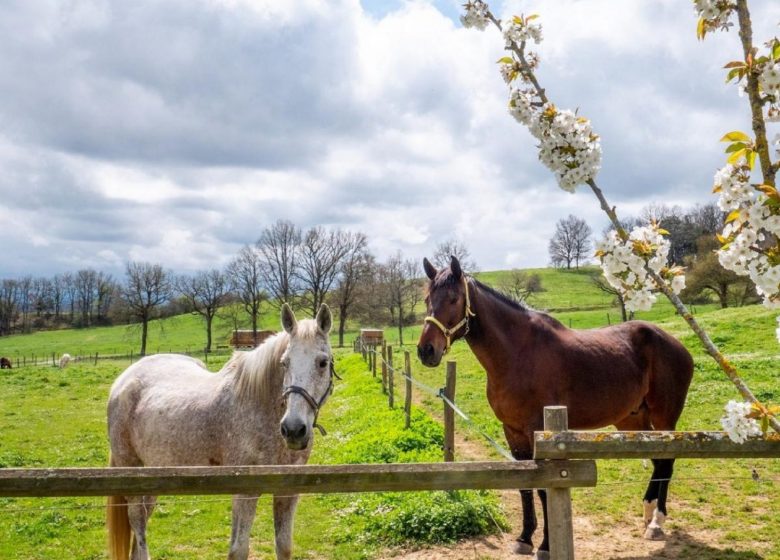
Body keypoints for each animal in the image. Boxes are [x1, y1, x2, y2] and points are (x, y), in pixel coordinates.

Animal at [106, 304, 332, 556]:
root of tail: (123, 381)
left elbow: (284, 547)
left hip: (152, 477)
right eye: (284, 363)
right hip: (131, 475)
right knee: (138, 523)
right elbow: (238, 550)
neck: (259, 405)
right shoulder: (245, 492)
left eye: (322, 362)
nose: (293, 429)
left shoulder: (287, 492)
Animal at [418, 256, 692, 556]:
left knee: (666, 462)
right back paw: (647, 512)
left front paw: (546, 545)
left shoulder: (539, 432)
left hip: (665, 417)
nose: (426, 350)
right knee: (657, 461)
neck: (517, 353)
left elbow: (543, 487)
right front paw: (524, 539)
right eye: (427, 299)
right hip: (632, 419)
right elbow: (525, 487)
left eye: (454, 298)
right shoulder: (512, 431)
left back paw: (656, 523)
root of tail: (676, 344)